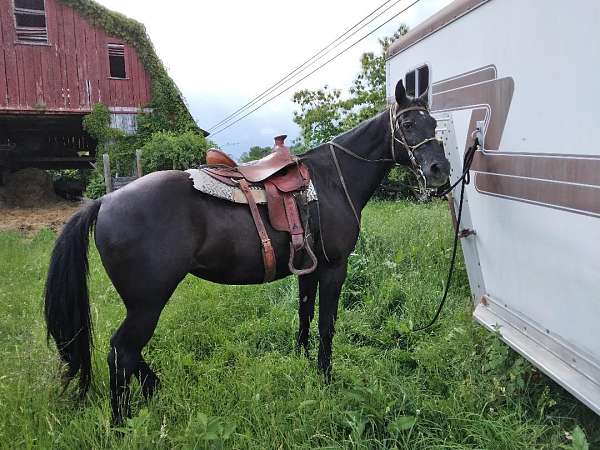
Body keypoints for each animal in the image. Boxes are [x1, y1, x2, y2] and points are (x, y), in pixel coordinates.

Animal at [44, 79, 448, 424]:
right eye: (408, 123)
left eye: (433, 122)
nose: (439, 169)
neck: (332, 180)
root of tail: (105, 201)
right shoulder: (335, 268)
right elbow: (327, 324)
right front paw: (325, 376)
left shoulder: (310, 269)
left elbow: (305, 315)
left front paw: (302, 361)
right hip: (148, 302)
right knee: (121, 352)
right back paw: (121, 422)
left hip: (142, 304)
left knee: (128, 352)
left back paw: (154, 388)